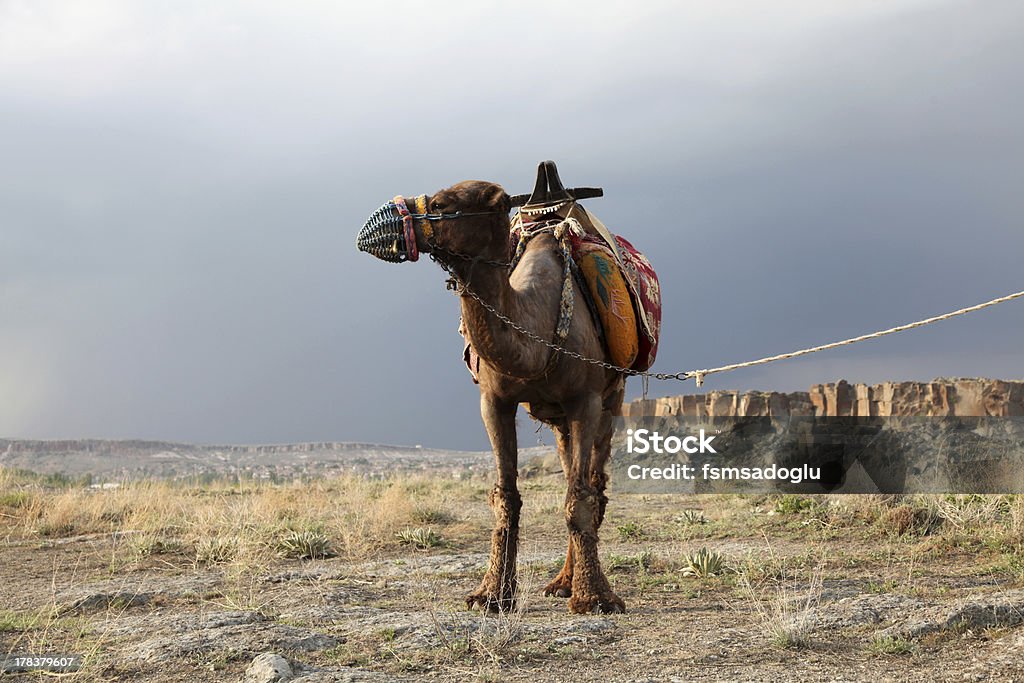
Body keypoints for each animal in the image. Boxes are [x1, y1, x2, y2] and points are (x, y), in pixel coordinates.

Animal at [356, 179, 626, 618]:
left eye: (440, 203)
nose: (377, 223)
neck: (538, 327)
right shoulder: (494, 401)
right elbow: (507, 498)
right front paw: (491, 595)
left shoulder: (585, 399)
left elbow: (579, 497)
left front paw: (596, 599)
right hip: (559, 421)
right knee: (571, 464)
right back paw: (562, 582)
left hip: (613, 394)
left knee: (593, 482)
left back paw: (572, 584)